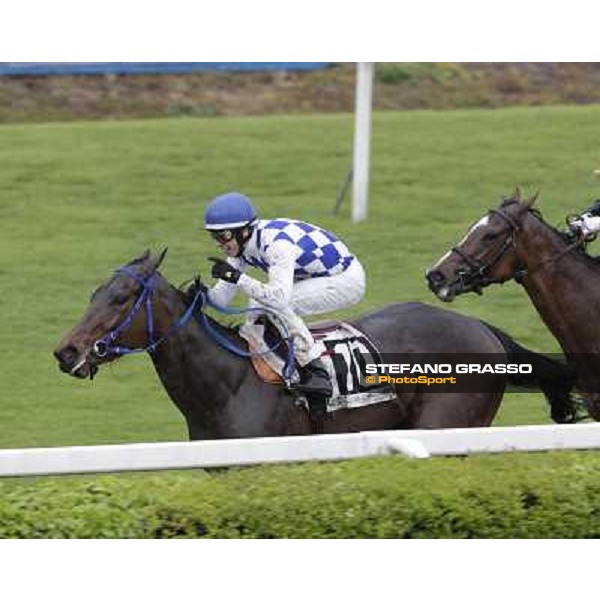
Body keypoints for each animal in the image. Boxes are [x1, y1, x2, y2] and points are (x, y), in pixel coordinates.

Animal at [54, 250, 580, 440]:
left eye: (120, 297)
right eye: (94, 293)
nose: (66, 351)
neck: (228, 384)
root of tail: (480, 326)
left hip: (448, 424)